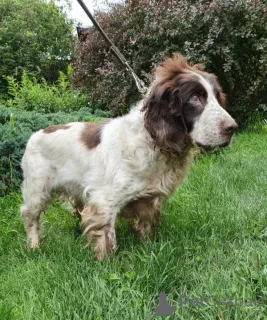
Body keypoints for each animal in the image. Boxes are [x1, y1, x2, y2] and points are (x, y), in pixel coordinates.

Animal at [21, 53, 239, 260]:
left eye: (217, 97)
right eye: (194, 98)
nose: (233, 128)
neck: (151, 144)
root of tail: (35, 134)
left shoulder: (149, 201)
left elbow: (145, 229)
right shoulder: (103, 202)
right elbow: (107, 241)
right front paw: (108, 263)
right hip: (37, 191)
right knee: (30, 217)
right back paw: (34, 246)